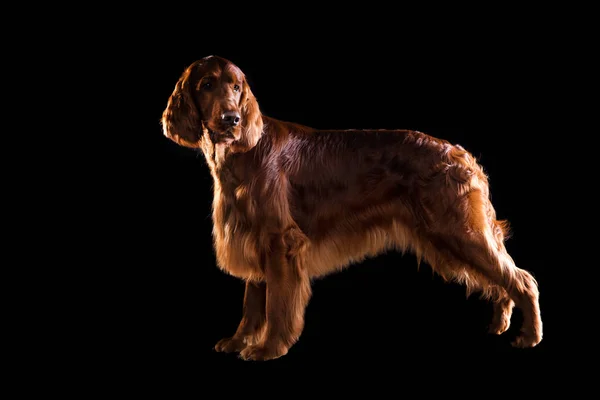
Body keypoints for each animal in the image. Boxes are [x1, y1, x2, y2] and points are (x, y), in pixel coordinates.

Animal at [161, 55, 544, 360]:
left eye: (237, 87)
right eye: (207, 84)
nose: (231, 119)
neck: (242, 153)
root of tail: (463, 154)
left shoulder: (280, 242)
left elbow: (277, 305)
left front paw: (269, 348)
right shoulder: (252, 239)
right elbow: (253, 305)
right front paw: (239, 341)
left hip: (459, 230)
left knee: (522, 279)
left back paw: (529, 336)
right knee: (503, 280)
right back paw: (499, 324)